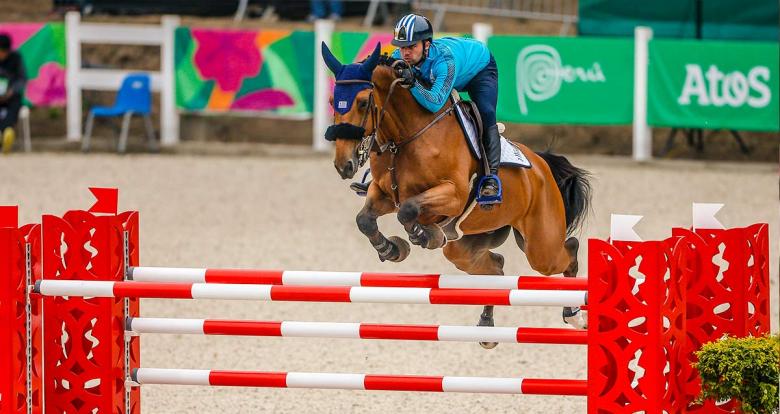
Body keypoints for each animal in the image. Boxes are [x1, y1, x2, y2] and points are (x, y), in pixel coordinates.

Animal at [322, 42, 592, 348]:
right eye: (332, 101)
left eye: (362, 102)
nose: (343, 165)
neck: (405, 136)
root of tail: (540, 165)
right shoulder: (383, 193)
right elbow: (365, 220)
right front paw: (392, 249)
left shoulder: (453, 194)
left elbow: (409, 210)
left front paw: (424, 234)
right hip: (466, 247)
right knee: (496, 267)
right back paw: (486, 325)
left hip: (540, 246)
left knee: (568, 250)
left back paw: (574, 314)